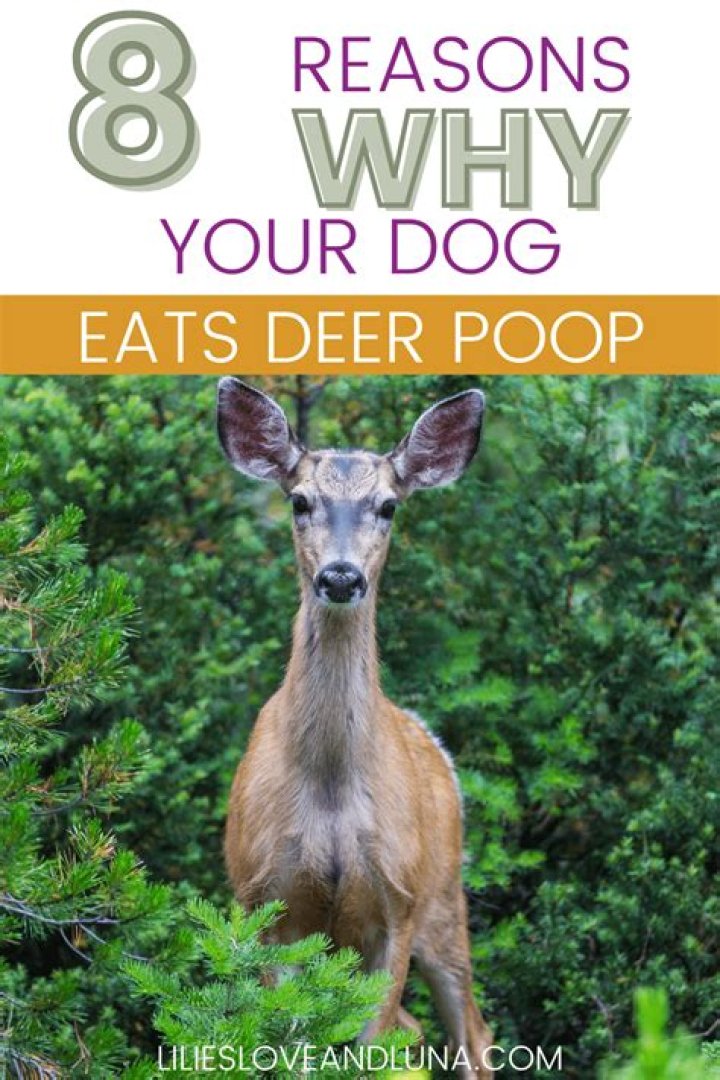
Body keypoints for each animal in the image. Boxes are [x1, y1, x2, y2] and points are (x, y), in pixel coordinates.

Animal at [217, 378, 493, 1078]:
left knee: (473, 1034)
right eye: (299, 500)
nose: (341, 576)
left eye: (388, 506)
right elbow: (290, 1047)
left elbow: (370, 1048)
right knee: (421, 1031)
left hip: (444, 900)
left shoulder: (397, 901)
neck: (331, 791)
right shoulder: (266, 899)